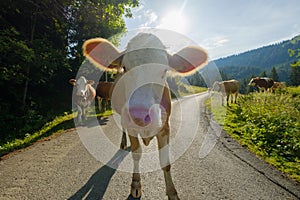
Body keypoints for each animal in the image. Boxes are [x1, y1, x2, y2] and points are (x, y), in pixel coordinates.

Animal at [82, 32, 209, 199]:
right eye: (125, 67)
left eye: (164, 70)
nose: (139, 114)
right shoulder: (131, 126)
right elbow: (137, 154)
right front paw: (136, 184)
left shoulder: (165, 126)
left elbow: (165, 162)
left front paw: (172, 193)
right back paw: (123, 142)